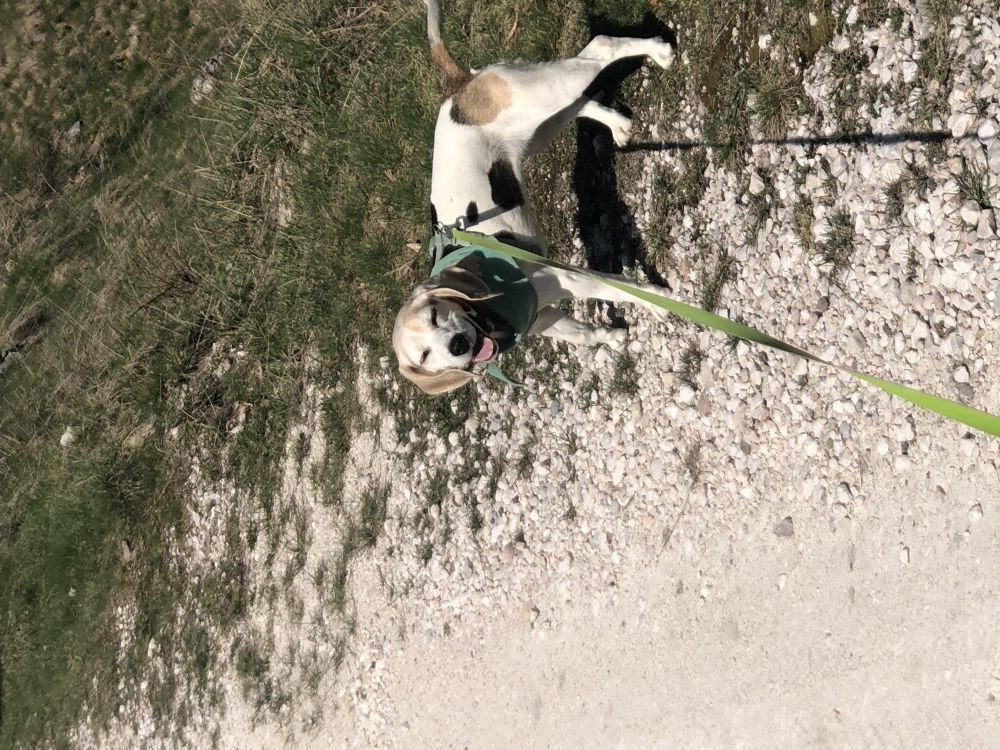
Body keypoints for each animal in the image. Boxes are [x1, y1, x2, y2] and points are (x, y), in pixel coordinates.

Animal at [393, 0, 676, 394]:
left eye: (435, 315)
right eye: (423, 357)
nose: (458, 345)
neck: (487, 317)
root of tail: (457, 87)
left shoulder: (568, 277)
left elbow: (624, 289)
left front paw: (657, 302)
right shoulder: (542, 317)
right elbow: (581, 333)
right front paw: (610, 338)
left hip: (550, 91)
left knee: (601, 47)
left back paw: (659, 51)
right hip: (542, 125)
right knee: (583, 101)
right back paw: (616, 124)